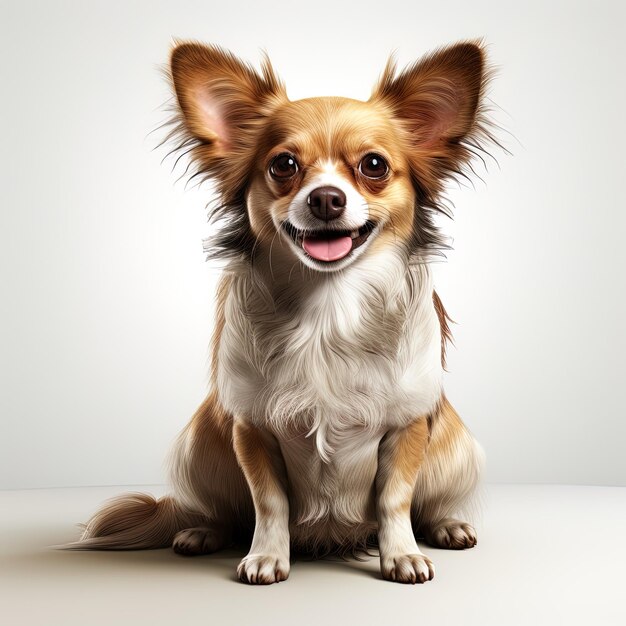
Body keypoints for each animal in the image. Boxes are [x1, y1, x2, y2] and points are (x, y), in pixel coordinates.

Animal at [68, 39, 492, 584]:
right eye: (284, 165)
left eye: (374, 165)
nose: (327, 198)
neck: (328, 307)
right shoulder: (252, 428)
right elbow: (269, 502)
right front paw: (267, 556)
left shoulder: (407, 426)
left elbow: (395, 499)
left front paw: (401, 554)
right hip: (199, 442)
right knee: (224, 510)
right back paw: (202, 531)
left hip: (457, 447)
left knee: (428, 501)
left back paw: (446, 525)